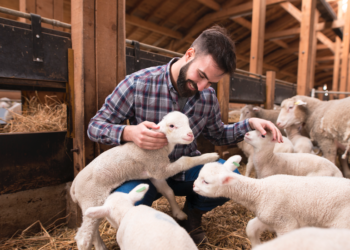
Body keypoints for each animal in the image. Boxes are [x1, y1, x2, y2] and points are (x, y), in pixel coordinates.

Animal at [194, 162, 350, 248]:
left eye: (206, 181)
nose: (193, 186)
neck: (259, 192)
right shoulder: (270, 217)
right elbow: (250, 227)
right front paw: (257, 245)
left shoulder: (286, 224)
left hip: (342, 224)